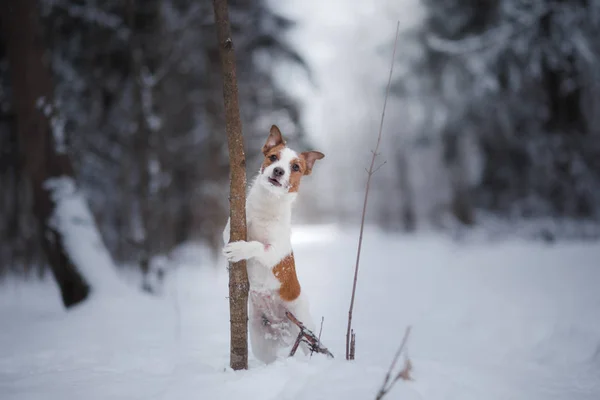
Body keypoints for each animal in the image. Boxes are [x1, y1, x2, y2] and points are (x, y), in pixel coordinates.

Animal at [221, 126, 324, 366]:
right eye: (273, 157)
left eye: (295, 167)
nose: (278, 171)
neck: (266, 206)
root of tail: (280, 326)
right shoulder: (235, 224)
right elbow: (229, 230)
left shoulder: (274, 251)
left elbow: (256, 246)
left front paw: (239, 249)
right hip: (261, 343)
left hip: (304, 328)